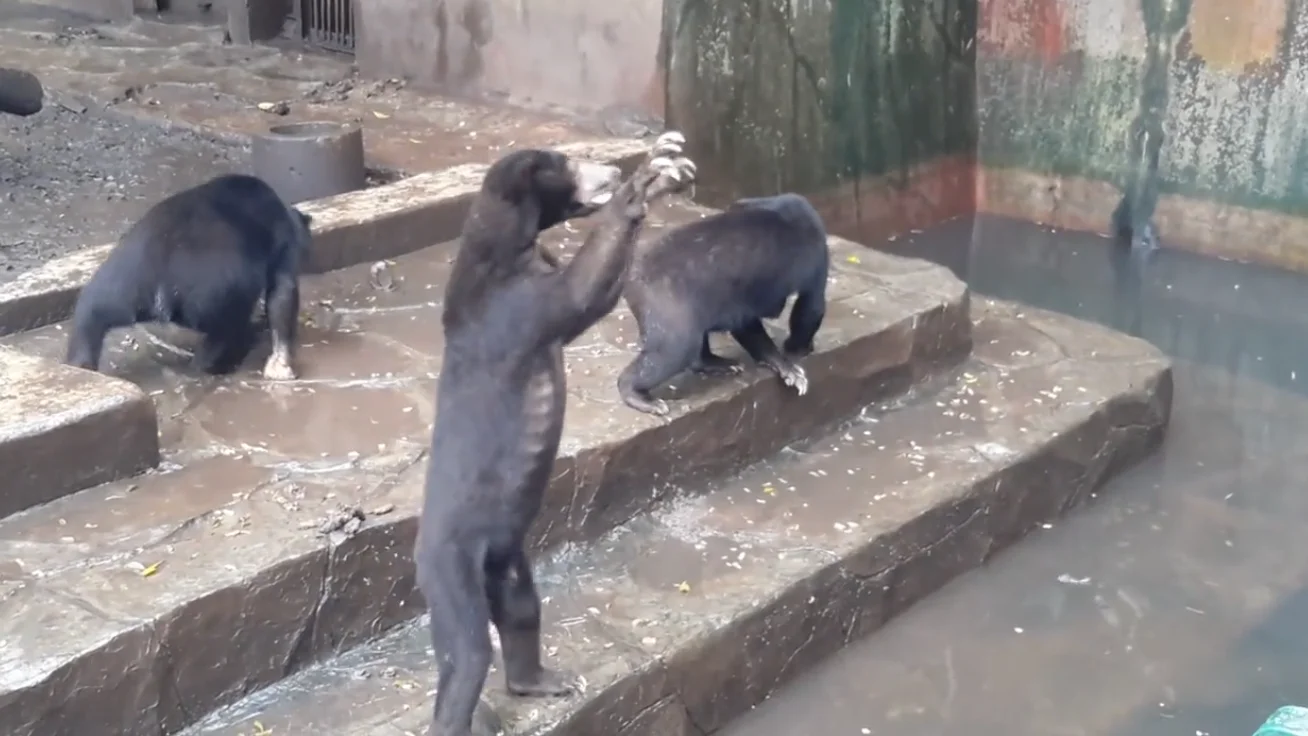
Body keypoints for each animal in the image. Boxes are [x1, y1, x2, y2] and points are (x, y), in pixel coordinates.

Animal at [65, 172, 312, 379]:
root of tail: (162, 280)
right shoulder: (285, 243)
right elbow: (283, 292)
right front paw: (282, 364)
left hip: (122, 282)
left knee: (92, 308)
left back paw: (80, 366)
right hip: (219, 292)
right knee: (226, 329)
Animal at [418, 135, 701, 736]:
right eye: (564, 163)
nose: (610, 168)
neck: (507, 250)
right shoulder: (516, 306)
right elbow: (581, 294)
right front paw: (650, 176)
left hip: (508, 564)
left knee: (523, 612)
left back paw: (545, 681)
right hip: (451, 568)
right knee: (467, 653)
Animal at [614, 189, 826, 418]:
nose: (775, 309)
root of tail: (630, 282)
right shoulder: (808, 263)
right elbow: (810, 308)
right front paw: (792, 359)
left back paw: (716, 363)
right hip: (666, 304)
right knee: (674, 350)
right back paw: (638, 395)